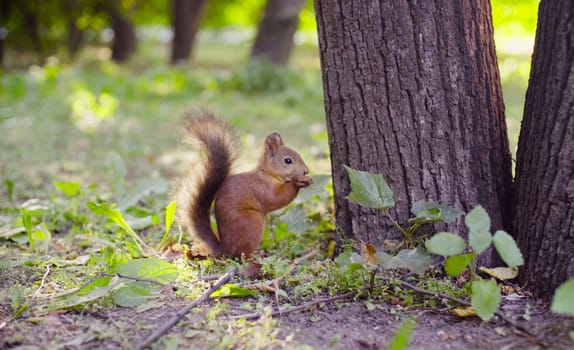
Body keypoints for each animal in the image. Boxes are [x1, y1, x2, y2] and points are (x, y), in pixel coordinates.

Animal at [174, 110, 316, 260]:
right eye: (288, 160)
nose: (306, 171)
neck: (268, 174)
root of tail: (225, 249)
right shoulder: (261, 188)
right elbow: (276, 199)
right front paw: (298, 182)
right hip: (251, 223)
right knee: (241, 255)